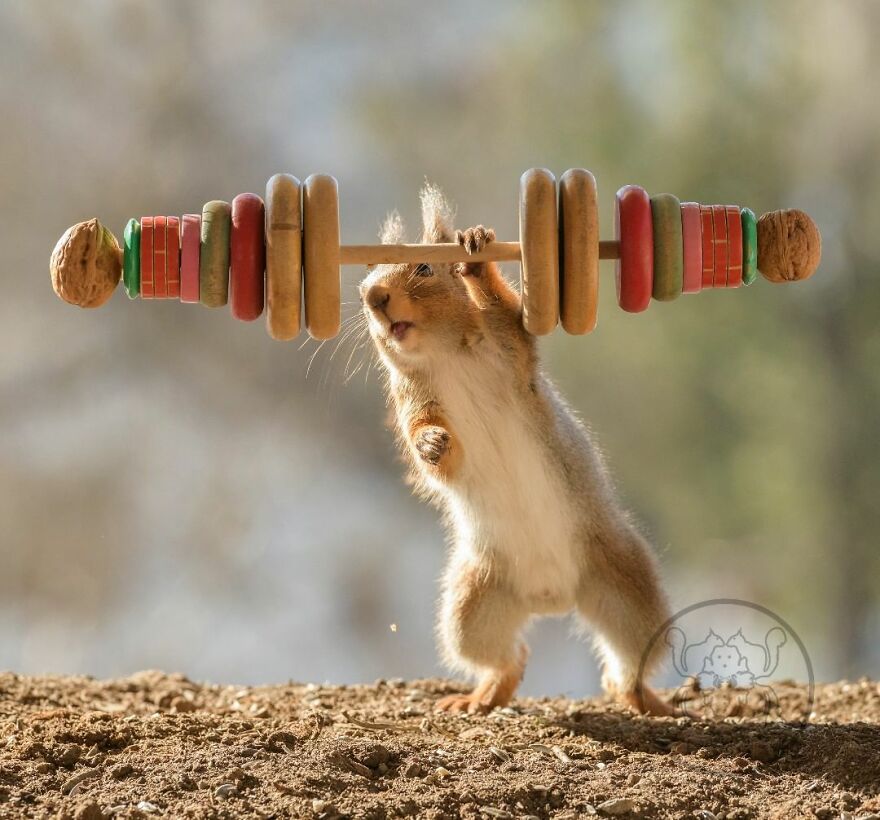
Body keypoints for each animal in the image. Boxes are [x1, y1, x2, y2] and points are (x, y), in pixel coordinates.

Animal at [359, 183, 674, 715]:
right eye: (364, 279)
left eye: (423, 268)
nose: (372, 297)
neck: (444, 355)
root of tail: (551, 597)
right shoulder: (412, 401)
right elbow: (437, 452)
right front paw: (431, 444)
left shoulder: (511, 348)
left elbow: (506, 311)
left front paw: (475, 253)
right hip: (473, 603)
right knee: (506, 658)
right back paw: (483, 694)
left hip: (628, 587)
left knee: (630, 660)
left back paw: (641, 696)